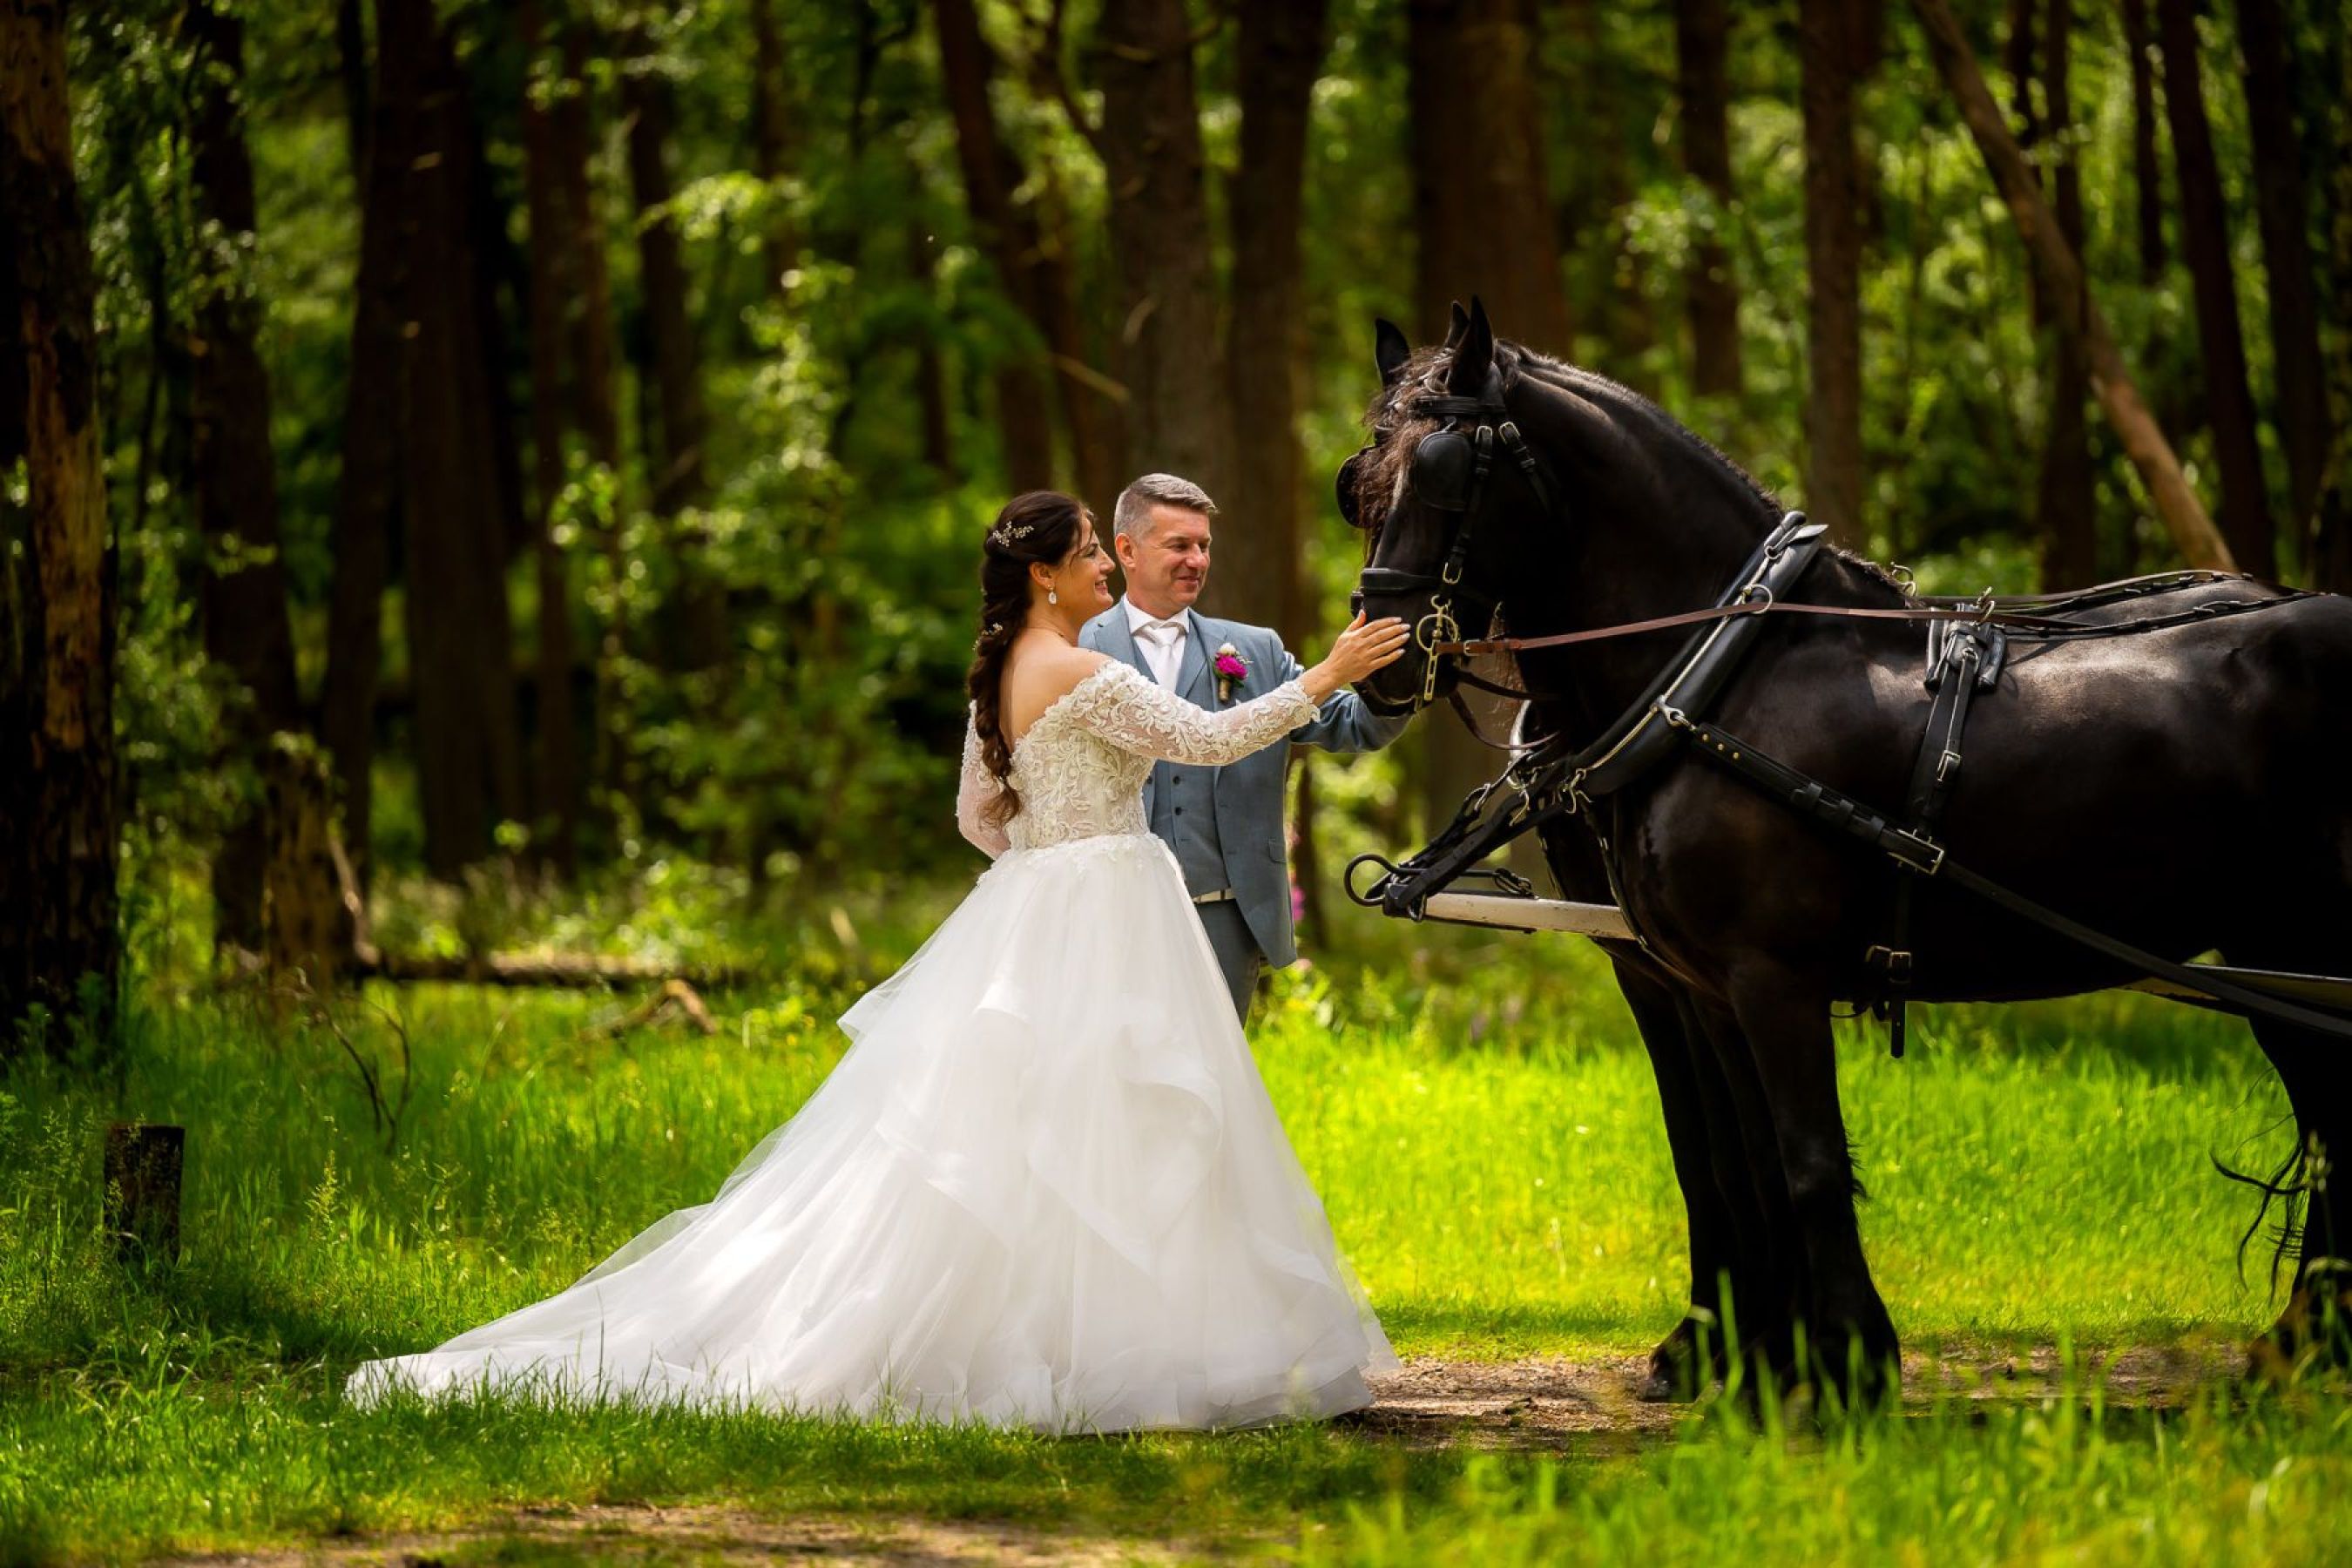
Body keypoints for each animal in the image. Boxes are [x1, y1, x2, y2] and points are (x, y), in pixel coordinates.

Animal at [1345, 303, 2352, 1401]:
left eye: (1445, 469)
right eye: (1363, 482)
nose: (1378, 658)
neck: (1716, 681)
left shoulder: (1768, 976)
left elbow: (1805, 1160)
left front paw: (1841, 1369)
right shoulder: (1694, 980)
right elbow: (1735, 1157)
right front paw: (1755, 1358)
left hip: (2297, 943)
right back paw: (2300, 1349)